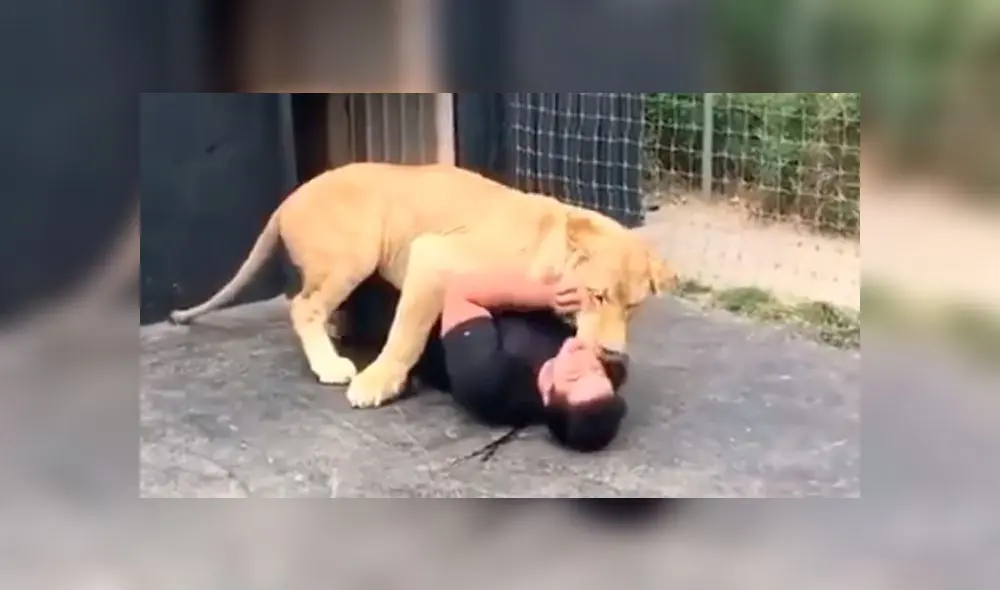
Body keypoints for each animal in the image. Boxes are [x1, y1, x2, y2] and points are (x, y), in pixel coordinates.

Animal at [168, 163, 677, 408]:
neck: (552, 243)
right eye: (598, 295)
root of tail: (289, 197)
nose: (612, 354)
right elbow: (406, 333)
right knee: (302, 306)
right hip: (358, 248)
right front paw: (378, 383)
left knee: (307, 298)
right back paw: (332, 365)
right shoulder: (433, 254)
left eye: (634, 307)